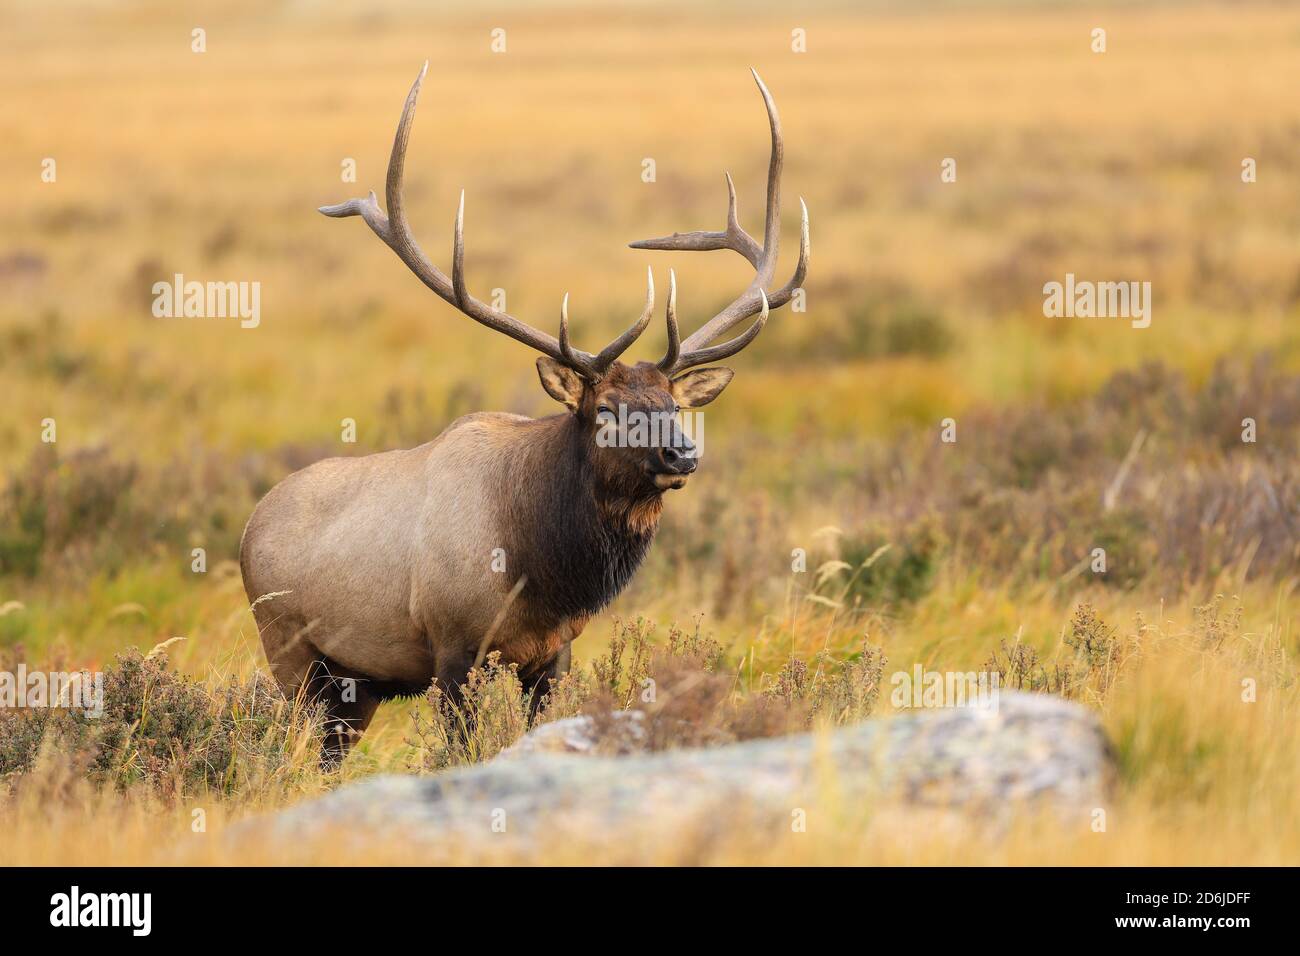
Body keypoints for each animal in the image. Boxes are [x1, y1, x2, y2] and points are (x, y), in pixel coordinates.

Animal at [239, 63, 806, 759]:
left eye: (674, 404)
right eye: (607, 409)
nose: (681, 453)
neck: (542, 572)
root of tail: (249, 526)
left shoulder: (553, 655)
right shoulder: (454, 645)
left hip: (357, 686)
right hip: (287, 648)